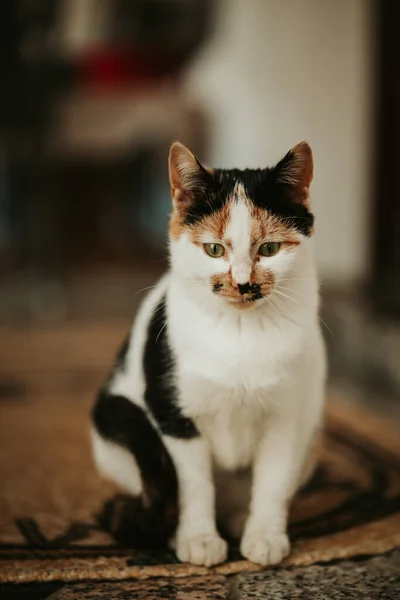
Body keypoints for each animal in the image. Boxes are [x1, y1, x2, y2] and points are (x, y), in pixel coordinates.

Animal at [92, 141, 326, 568]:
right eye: (214, 249)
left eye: (270, 248)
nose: (243, 283)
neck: (241, 332)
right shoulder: (175, 416)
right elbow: (194, 484)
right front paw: (198, 539)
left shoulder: (287, 419)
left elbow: (272, 482)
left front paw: (264, 535)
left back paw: (238, 519)